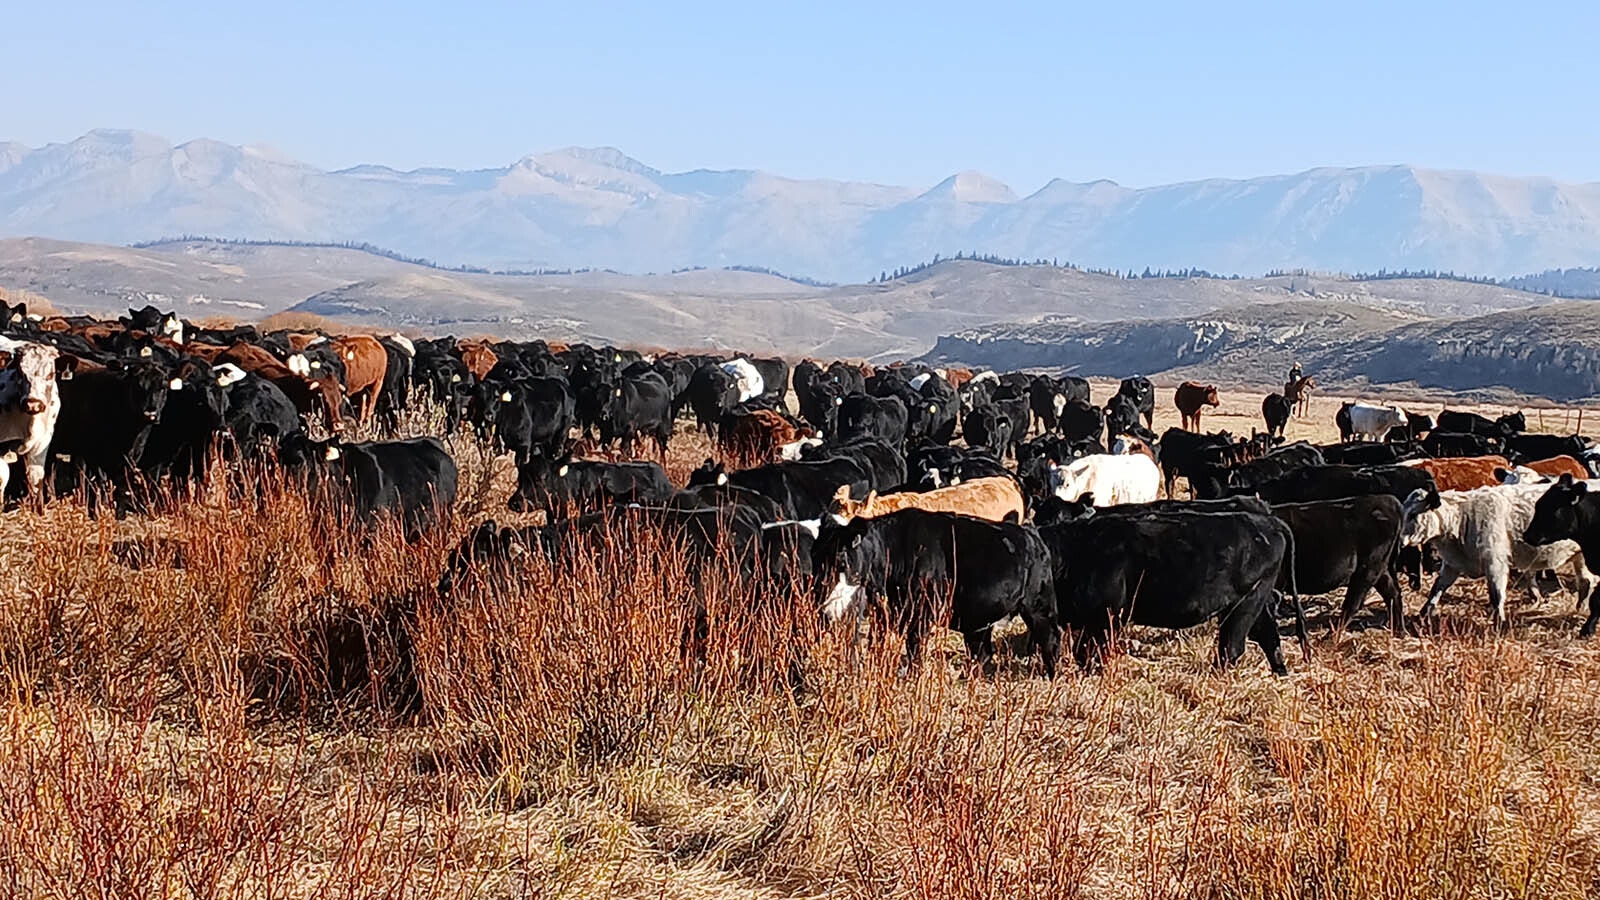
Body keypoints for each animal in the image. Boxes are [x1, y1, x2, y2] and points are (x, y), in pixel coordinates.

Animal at [812, 512, 1062, 672]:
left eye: (841, 558)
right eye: (815, 555)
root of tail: (1032, 535)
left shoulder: (921, 614)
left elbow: (914, 650)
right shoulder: (885, 614)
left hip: (1039, 607)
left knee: (1050, 639)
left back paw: (1050, 675)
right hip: (980, 621)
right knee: (982, 653)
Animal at [1043, 506, 1305, 672]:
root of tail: (1268, 521)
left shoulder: (1106, 616)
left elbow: (1090, 652)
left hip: (1245, 604)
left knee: (1232, 646)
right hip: (1253, 603)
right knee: (1267, 636)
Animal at [1408, 483, 1593, 624]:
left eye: (1412, 514)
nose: (1401, 540)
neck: (1462, 517)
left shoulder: (1495, 562)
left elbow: (1496, 594)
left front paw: (1500, 622)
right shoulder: (1453, 565)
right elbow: (1437, 589)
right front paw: (1423, 613)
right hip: (1580, 558)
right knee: (1586, 582)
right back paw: (1580, 609)